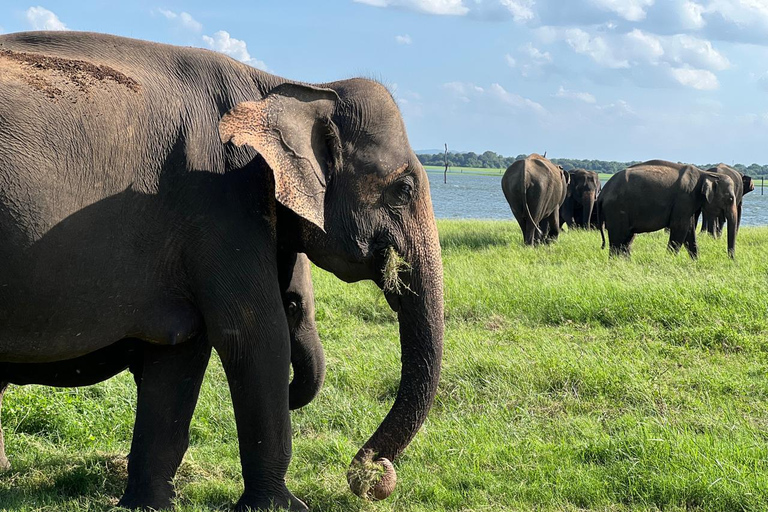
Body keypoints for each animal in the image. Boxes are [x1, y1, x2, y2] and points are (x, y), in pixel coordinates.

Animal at [596, 160, 740, 258]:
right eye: (730, 199)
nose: (731, 259)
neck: (705, 174)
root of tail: (602, 193)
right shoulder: (685, 198)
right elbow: (680, 228)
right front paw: (668, 261)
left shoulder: (688, 203)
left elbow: (689, 230)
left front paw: (695, 261)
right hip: (616, 209)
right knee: (618, 239)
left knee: (627, 239)